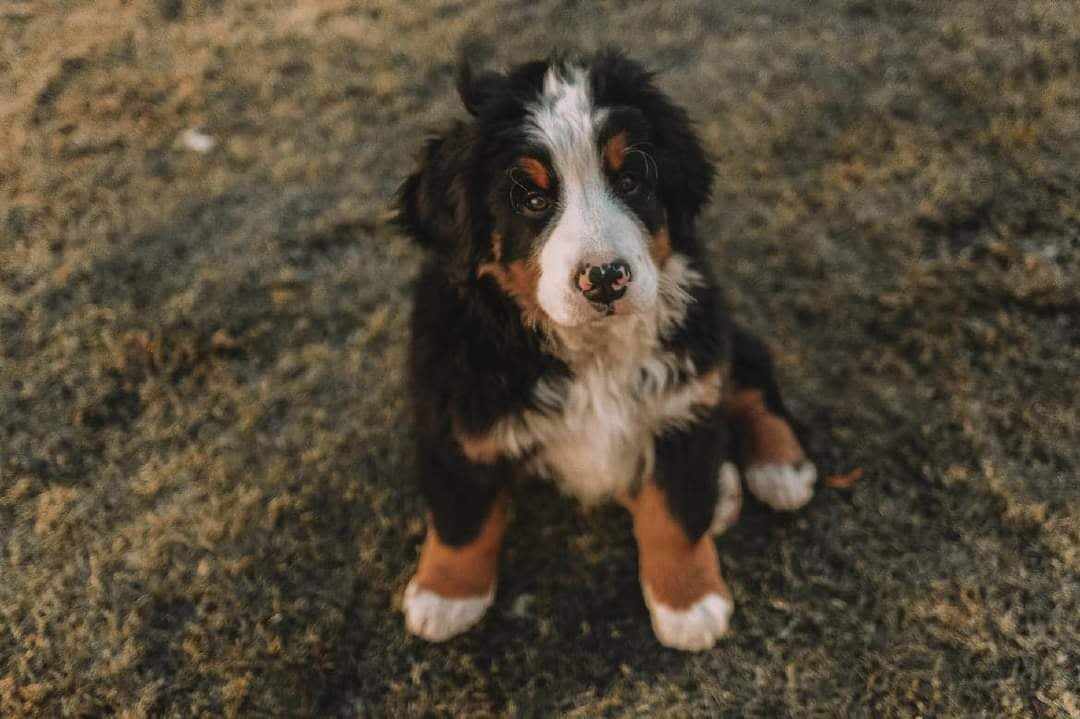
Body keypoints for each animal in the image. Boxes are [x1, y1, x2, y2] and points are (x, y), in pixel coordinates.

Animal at [399, 47, 816, 647]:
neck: (591, 350)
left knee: (751, 374)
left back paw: (780, 469)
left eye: (632, 179)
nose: (604, 279)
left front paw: (689, 603)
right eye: (531, 198)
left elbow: (674, 514)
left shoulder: (682, 402)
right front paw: (445, 595)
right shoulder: (456, 412)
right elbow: (463, 517)